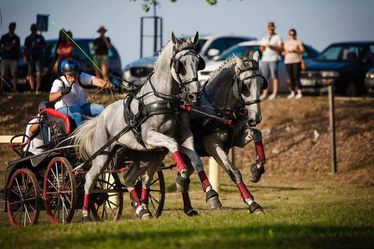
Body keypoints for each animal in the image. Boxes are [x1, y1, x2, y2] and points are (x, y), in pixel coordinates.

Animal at [73, 31, 219, 220]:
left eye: (198, 62)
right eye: (181, 65)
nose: (194, 95)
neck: (164, 100)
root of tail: (102, 116)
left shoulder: (185, 136)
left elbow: (196, 159)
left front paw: (211, 195)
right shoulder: (150, 136)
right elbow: (173, 145)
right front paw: (183, 173)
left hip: (146, 156)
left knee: (134, 178)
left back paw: (142, 209)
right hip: (102, 156)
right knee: (90, 179)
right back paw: (85, 214)